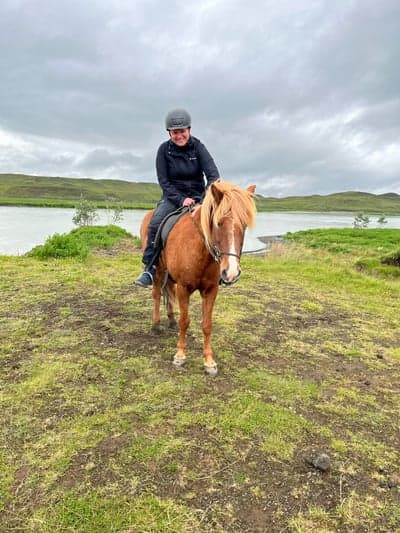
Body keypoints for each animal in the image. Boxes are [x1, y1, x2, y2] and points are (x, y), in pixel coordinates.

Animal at [139, 179, 256, 374]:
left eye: (244, 224)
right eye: (218, 223)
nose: (231, 272)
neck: (201, 249)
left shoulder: (211, 290)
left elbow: (207, 325)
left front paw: (209, 361)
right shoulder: (183, 288)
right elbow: (184, 321)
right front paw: (180, 356)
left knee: (167, 292)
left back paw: (170, 319)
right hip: (159, 270)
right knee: (156, 294)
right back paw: (156, 325)